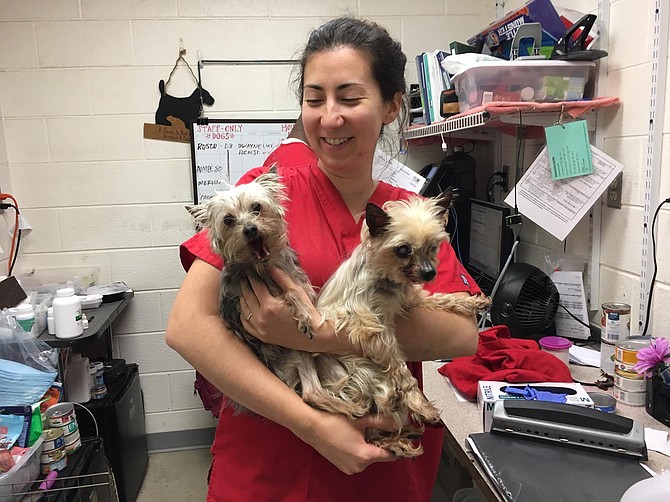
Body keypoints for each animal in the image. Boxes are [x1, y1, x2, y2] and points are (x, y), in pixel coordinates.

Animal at [308, 191, 488, 458]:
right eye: (403, 250)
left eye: (433, 246)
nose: (430, 273)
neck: (387, 280)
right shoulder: (371, 327)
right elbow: (399, 366)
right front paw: (419, 401)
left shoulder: (409, 299)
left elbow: (439, 298)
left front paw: (471, 303)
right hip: (358, 374)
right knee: (373, 430)